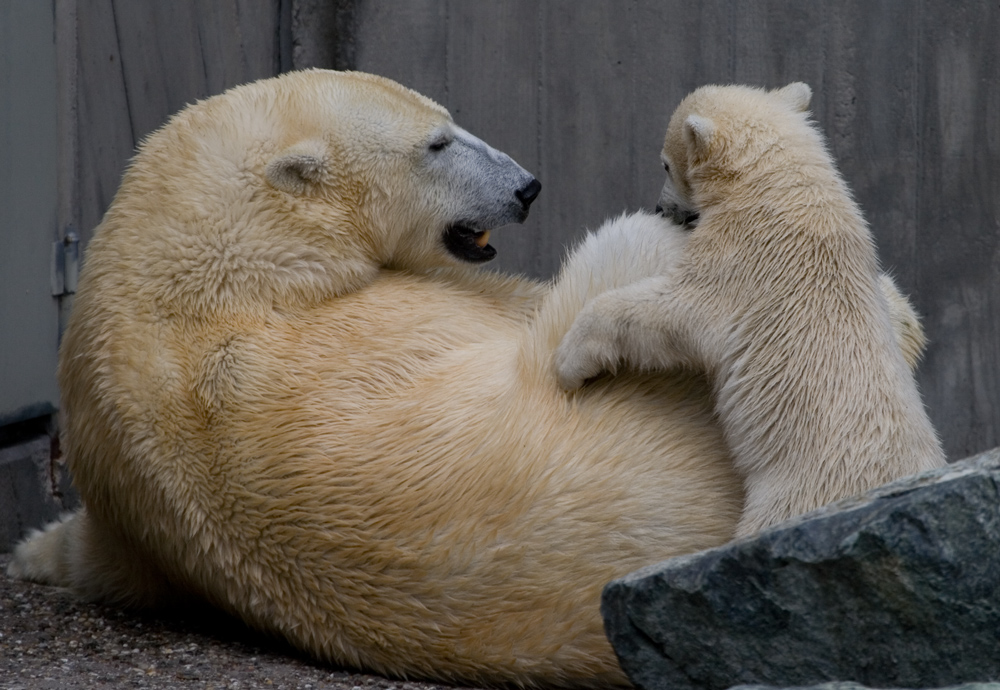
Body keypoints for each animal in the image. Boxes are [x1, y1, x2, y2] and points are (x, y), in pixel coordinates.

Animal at [7, 71, 924, 688]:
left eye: (450, 120)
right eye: (437, 144)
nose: (528, 185)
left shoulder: (125, 493)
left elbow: (96, 552)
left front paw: (35, 551)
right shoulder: (380, 318)